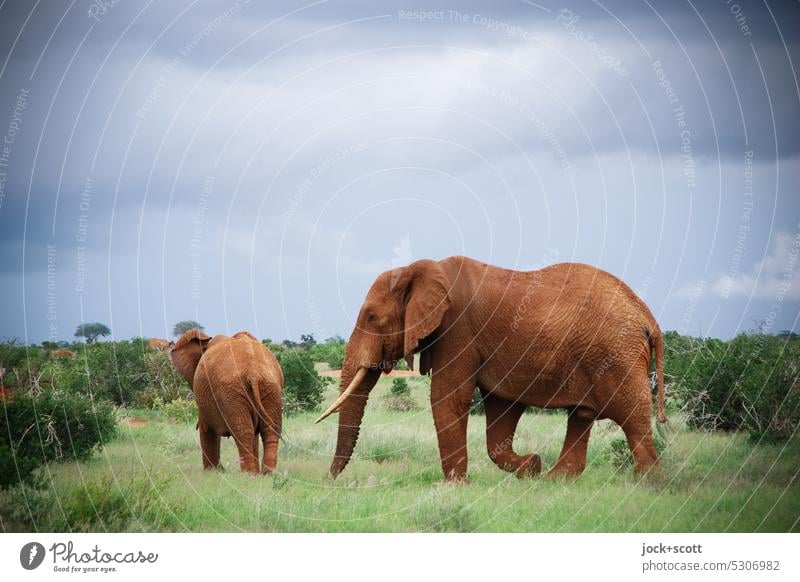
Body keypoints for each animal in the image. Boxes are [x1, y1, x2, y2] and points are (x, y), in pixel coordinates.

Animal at [170, 328, 282, 474]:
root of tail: (254, 372)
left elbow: (206, 428)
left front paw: (212, 473)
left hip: (231, 393)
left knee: (243, 432)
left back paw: (248, 474)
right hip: (270, 387)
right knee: (269, 429)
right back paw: (266, 474)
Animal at [316, 256, 664, 484]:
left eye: (372, 317)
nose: (330, 480)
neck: (426, 268)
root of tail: (647, 316)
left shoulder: (457, 330)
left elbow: (448, 398)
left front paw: (454, 487)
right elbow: (501, 410)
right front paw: (531, 466)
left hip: (617, 354)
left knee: (632, 416)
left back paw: (646, 483)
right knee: (581, 416)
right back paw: (553, 479)